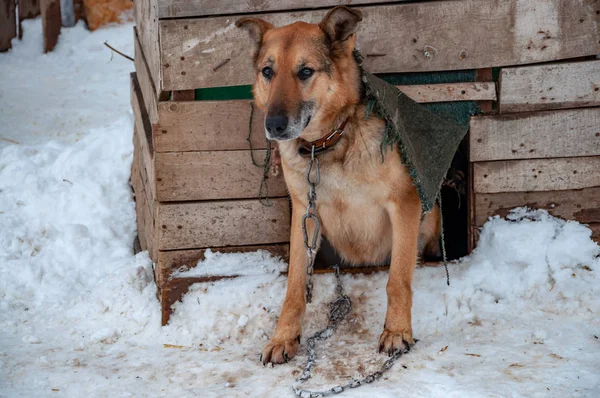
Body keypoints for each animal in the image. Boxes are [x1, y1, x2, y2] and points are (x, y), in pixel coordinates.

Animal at [236, 5, 440, 364]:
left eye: (305, 71)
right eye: (267, 71)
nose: (273, 125)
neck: (328, 144)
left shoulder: (405, 203)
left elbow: (398, 279)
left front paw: (397, 331)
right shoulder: (304, 214)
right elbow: (294, 286)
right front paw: (283, 336)